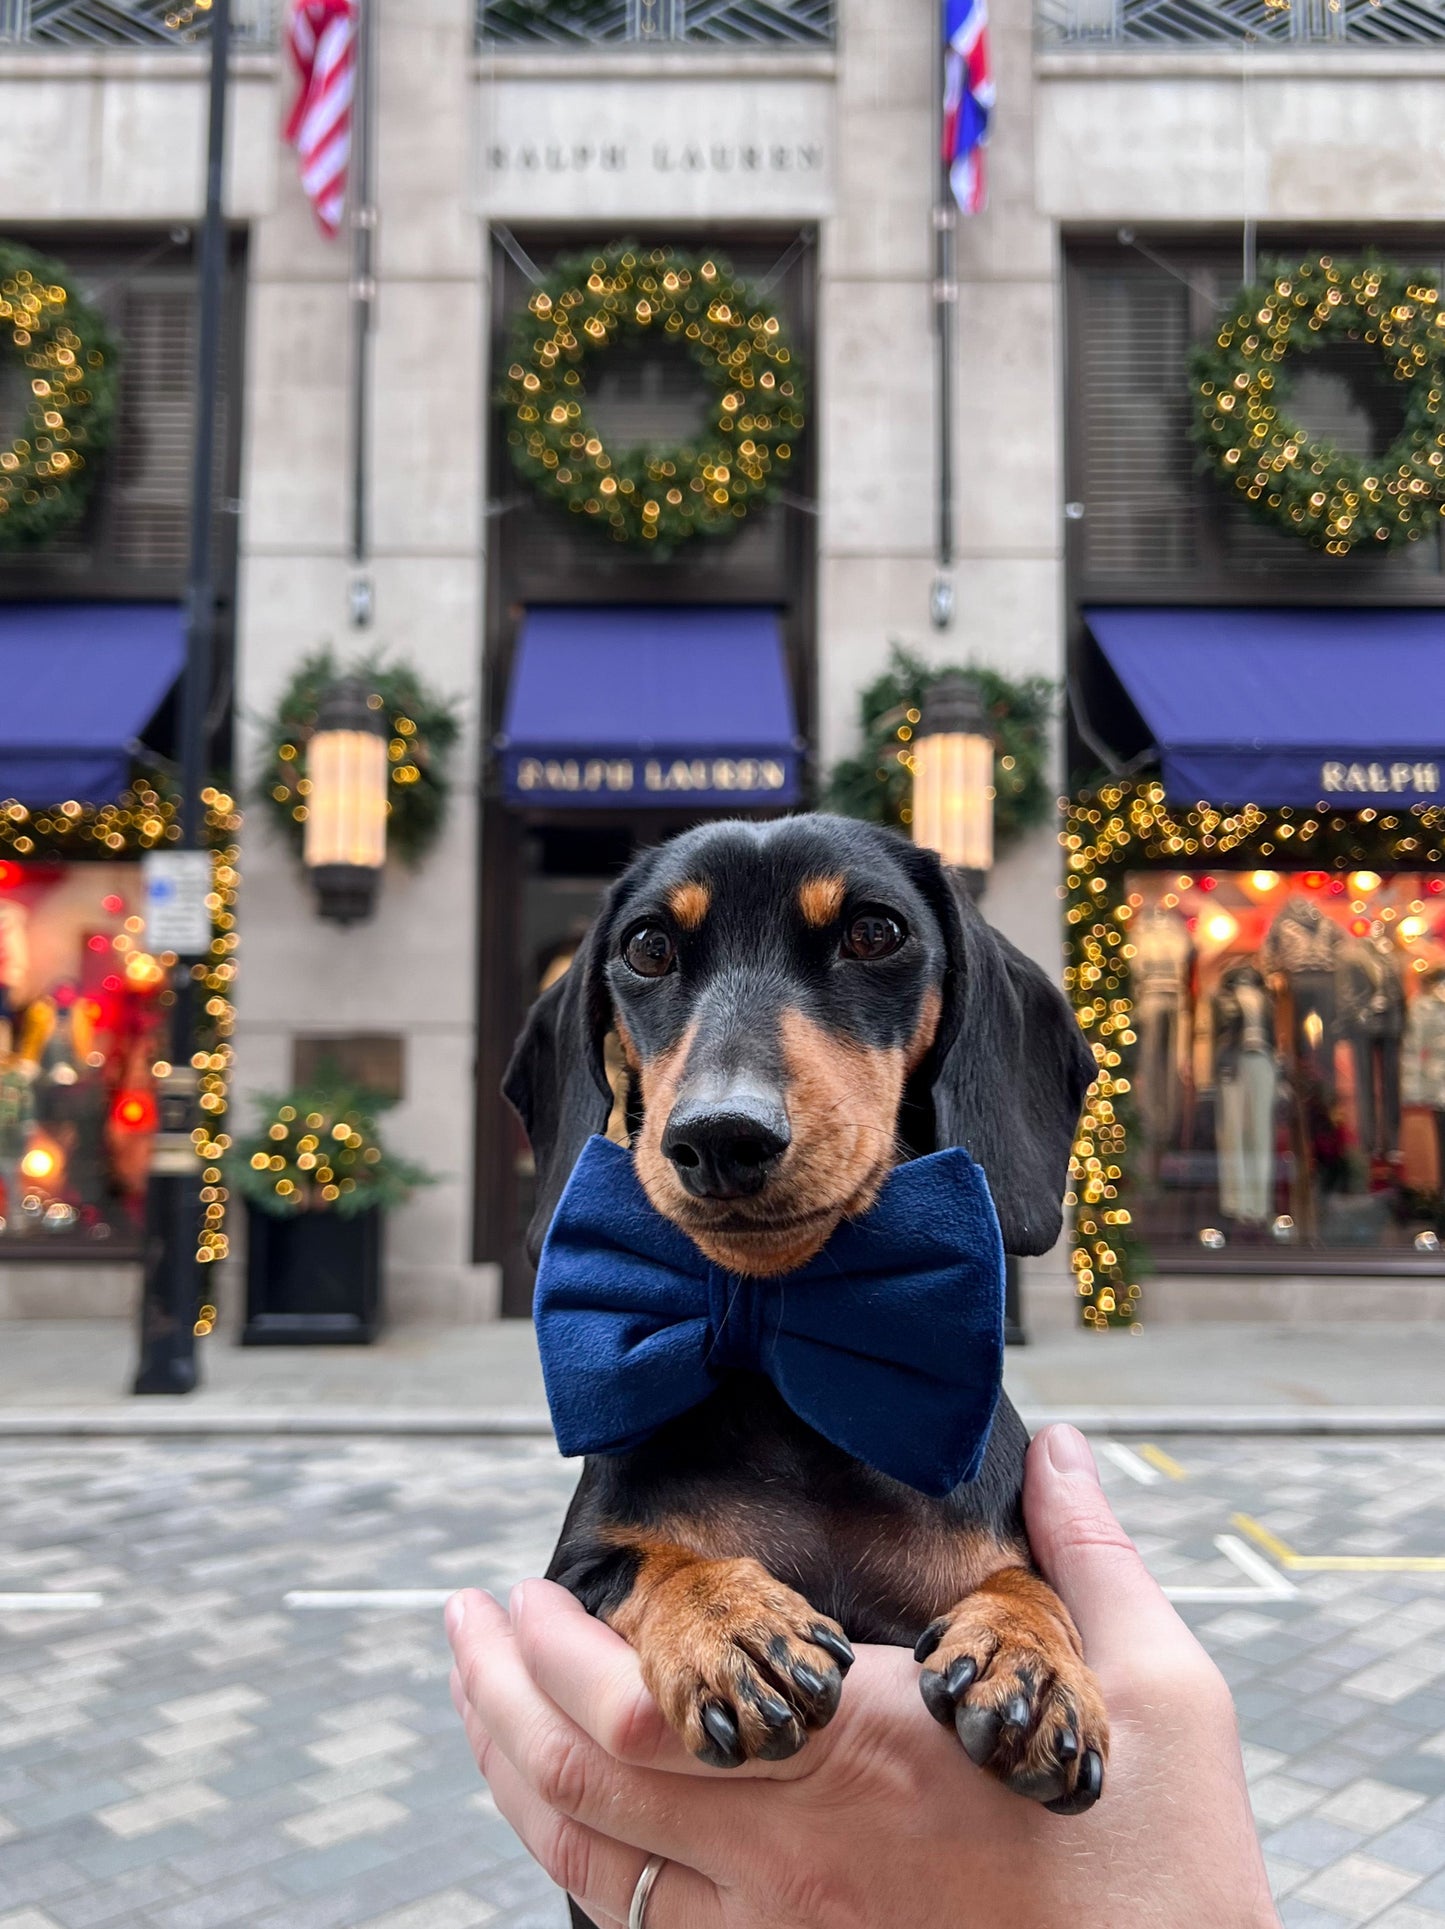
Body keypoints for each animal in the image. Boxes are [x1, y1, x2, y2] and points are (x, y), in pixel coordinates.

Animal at [505, 814, 1103, 1851]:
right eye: (647, 947)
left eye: (874, 932)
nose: (721, 1136)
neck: (794, 1360)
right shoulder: (573, 1572)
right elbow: (647, 1559)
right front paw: (731, 1621)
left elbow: (1028, 1582)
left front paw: (1027, 1654)